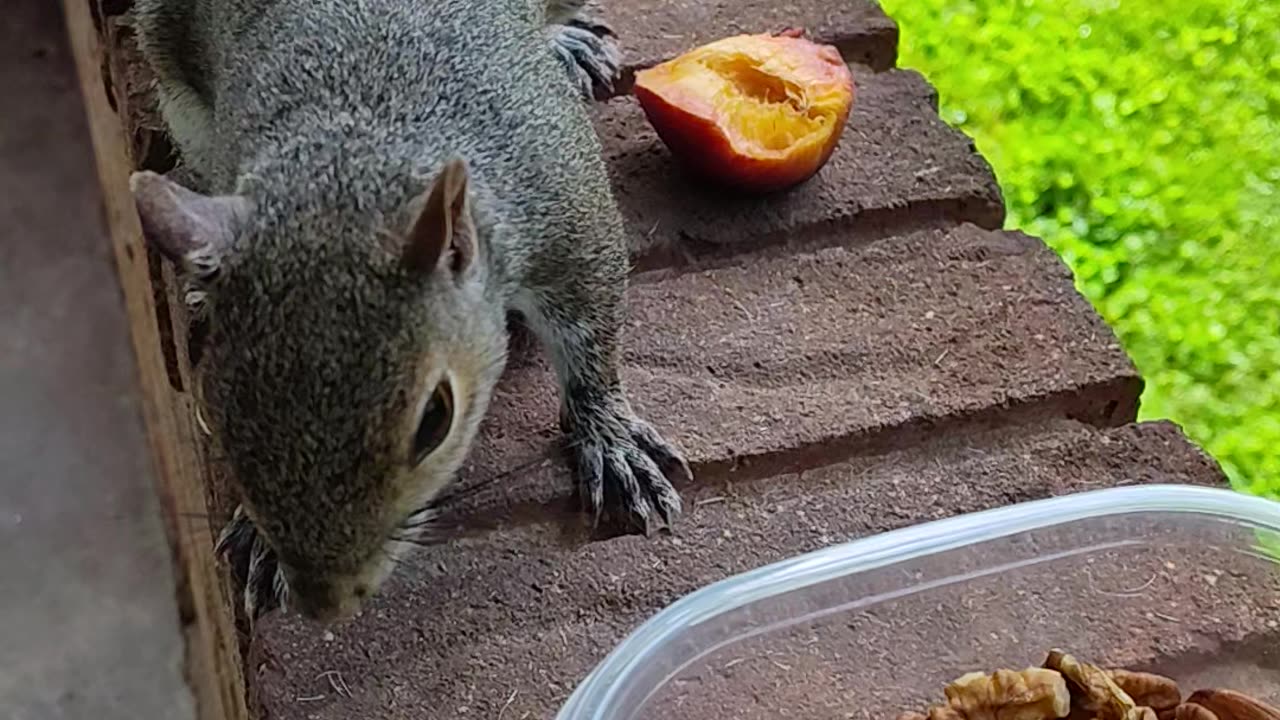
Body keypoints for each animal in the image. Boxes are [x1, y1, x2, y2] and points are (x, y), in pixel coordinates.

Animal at [129, 0, 693, 624]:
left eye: (435, 420)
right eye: (217, 418)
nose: (324, 604)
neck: (352, 156)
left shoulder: (565, 211)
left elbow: (593, 332)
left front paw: (611, 441)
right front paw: (258, 537)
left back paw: (568, 41)